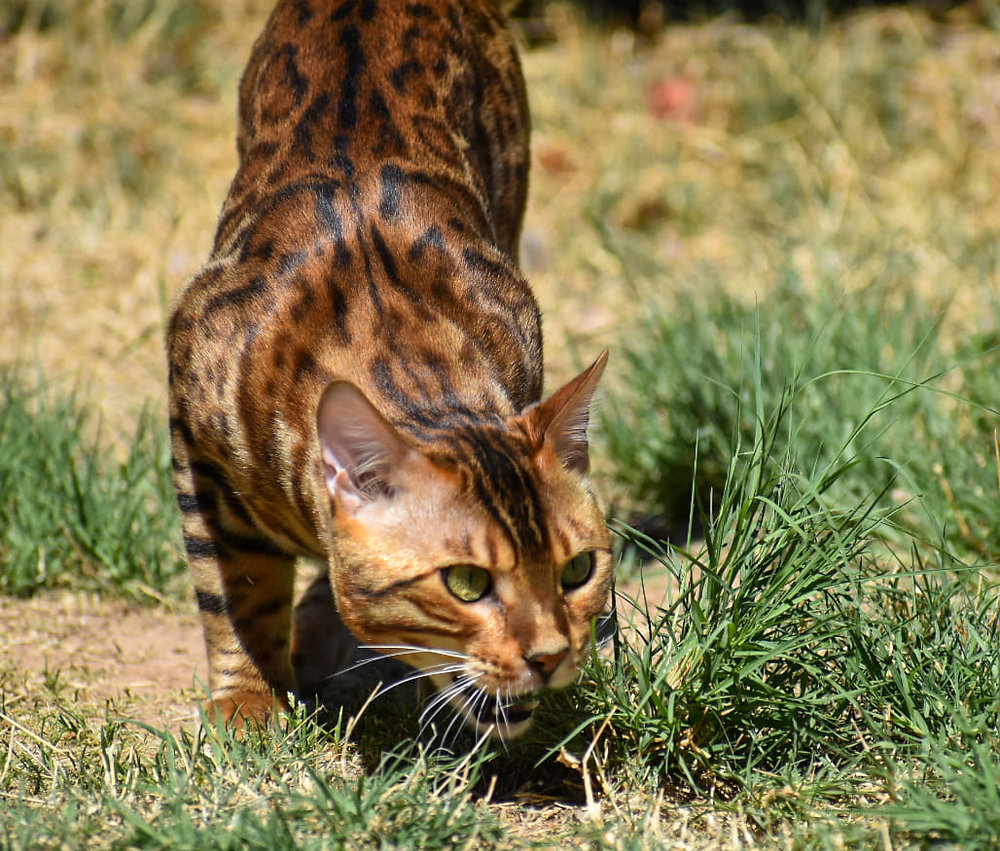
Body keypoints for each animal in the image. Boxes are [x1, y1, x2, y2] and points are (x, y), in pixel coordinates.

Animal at [166, 0, 612, 739]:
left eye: (578, 569)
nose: (551, 656)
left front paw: (318, 635)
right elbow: (236, 585)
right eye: (466, 582)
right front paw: (250, 701)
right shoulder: (190, 422)